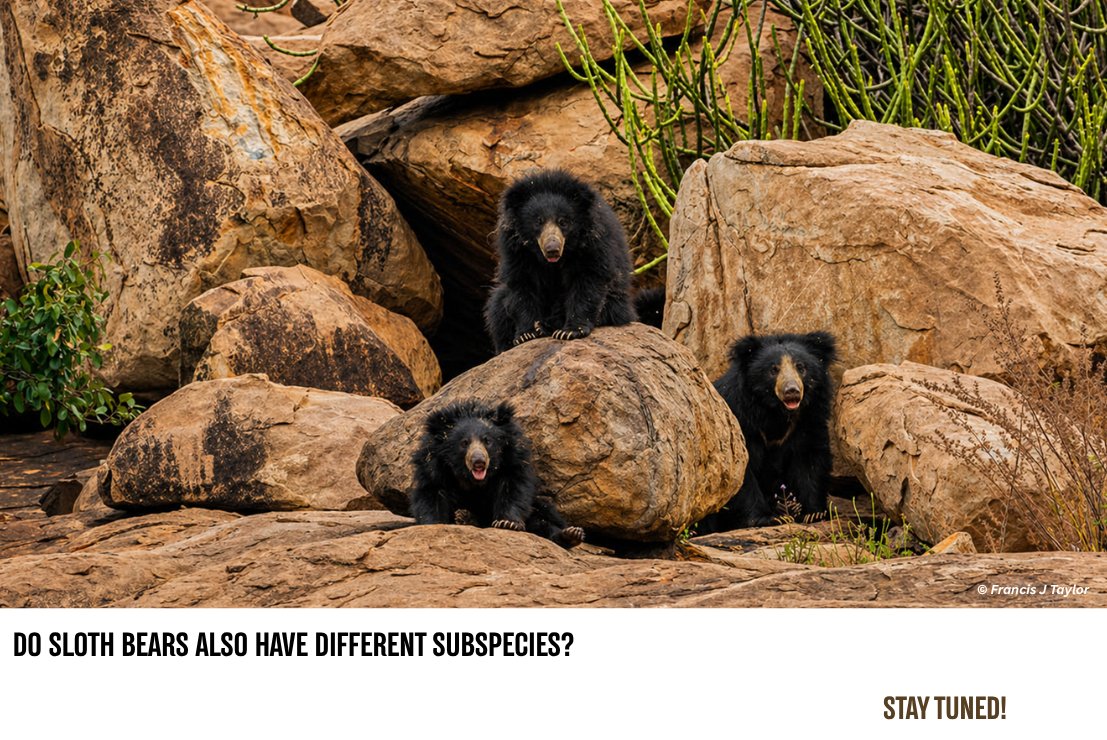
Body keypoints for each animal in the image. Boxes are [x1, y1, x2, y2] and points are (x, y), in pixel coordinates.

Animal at [409, 399, 585, 548]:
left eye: (487, 440)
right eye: (464, 443)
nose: (479, 461)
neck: (472, 479)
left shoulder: (512, 460)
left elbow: (513, 488)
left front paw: (507, 523)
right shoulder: (433, 466)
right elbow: (431, 493)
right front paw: (433, 523)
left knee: (545, 516)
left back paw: (571, 534)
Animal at [483, 169, 636, 354]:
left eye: (563, 222)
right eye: (538, 221)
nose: (552, 249)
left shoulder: (594, 243)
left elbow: (588, 281)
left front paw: (570, 331)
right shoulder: (515, 248)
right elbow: (522, 283)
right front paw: (526, 334)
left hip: (616, 304)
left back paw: (548, 325)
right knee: (497, 308)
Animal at [698, 331, 838, 532]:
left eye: (801, 367)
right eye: (773, 370)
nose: (792, 391)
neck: (775, 412)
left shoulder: (809, 421)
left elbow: (810, 462)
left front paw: (814, 513)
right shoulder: (742, 420)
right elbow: (741, 472)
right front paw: (768, 518)